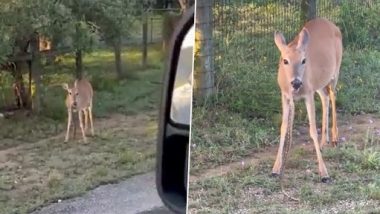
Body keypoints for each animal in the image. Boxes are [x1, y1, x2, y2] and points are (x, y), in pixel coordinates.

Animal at [272, 17, 342, 183]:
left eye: (304, 60)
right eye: (285, 60)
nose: (296, 83)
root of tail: (332, 24)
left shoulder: (308, 94)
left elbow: (312, 130)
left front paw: (324, 173)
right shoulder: (285, 95)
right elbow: (283, 128)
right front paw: (276, 169)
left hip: (335, 71)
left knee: (333, 95)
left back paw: (335, 138)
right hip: (319, 82)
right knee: (325, 97)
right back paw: (324, 142)